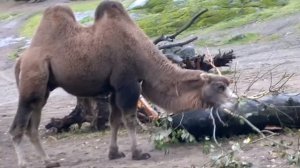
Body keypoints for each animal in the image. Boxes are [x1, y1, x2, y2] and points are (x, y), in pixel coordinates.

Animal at [9, 0, 233, 167]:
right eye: (220, 87)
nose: (234, 102)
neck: (143, 54)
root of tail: (20, 61)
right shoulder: (127, 83)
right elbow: (130, 119)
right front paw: (138, 153)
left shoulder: (114, 88)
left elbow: (115, 120)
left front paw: (114, 153)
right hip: (32, 80)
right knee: (18, 126)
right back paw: (24, 163)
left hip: (43, 90)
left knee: (32, 125)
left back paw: (49, 162)